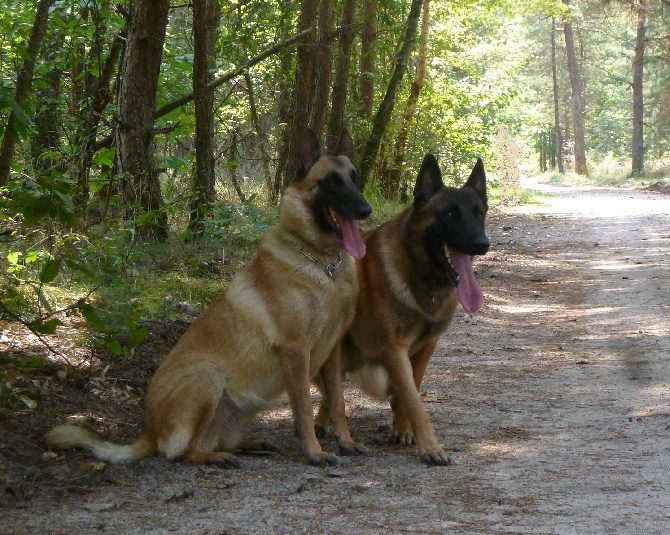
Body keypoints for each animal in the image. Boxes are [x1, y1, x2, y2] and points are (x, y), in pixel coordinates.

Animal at [46, 131, 372, 468]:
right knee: (181, 451)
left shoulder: (331, 352)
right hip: (207, 376)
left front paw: (346, 443)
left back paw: (250, 445)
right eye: (331, 182)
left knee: (212, 440)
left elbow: (337, 403)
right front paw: (314, 453)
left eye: (355, 178)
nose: (366, 210)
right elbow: (306, 410)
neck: (324, 265)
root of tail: (150, 430)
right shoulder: (297, 351)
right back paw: (217, 457)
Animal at [318, 154, 490, 464]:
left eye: (479, 214)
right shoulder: (394, 349)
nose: (482, 244)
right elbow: (414, 400)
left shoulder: (426, 346)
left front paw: (403, 428)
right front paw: (431, 447)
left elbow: (413, 388)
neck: (422, 279)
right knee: (331, 390)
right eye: (448, 214)